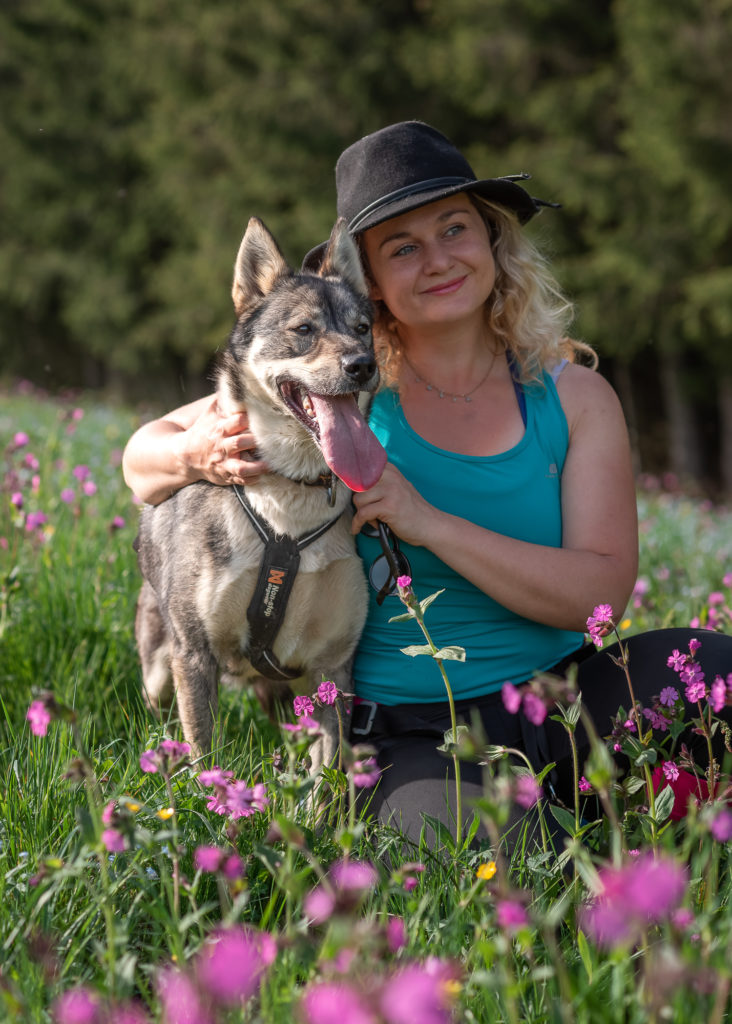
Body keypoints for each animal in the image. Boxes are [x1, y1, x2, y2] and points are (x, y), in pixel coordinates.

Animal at [137, 220, 389, 770]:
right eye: (304, 330)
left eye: (363, 327)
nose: (362, 364)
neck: (291, 492)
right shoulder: (195, 655)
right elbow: (204, 754)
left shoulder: (334, 665)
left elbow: (327, 773)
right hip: (160, 666)